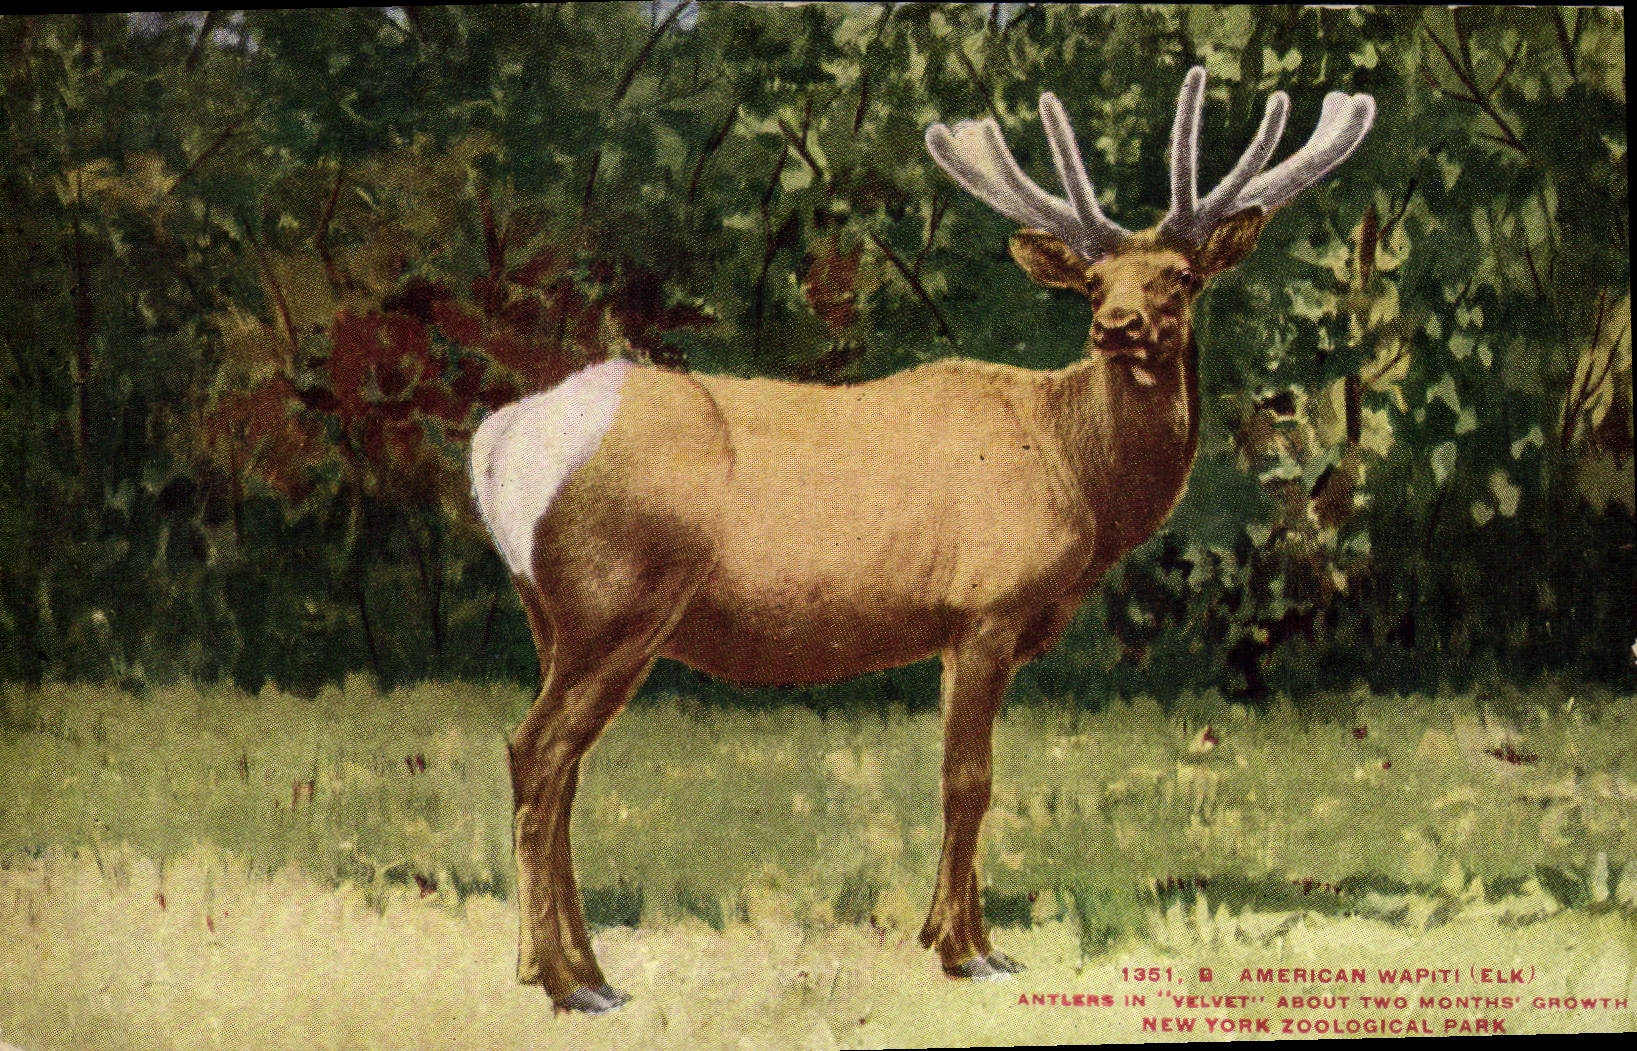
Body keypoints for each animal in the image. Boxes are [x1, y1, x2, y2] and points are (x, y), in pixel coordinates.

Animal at [469, 67, 1374, 1014]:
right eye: (1093, 281)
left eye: (1184, 274)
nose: (1117, 325)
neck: (1078, 475)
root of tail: (495, 445)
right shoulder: (987, 605)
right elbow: (969, 780)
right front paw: (967, 949)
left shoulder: (961, 628)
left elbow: (965, 775)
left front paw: (951, 933)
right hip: (617, 601)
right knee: (537, 752)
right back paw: (569, 981)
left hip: (551, 615)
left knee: (562, 766)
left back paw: (563, 963)